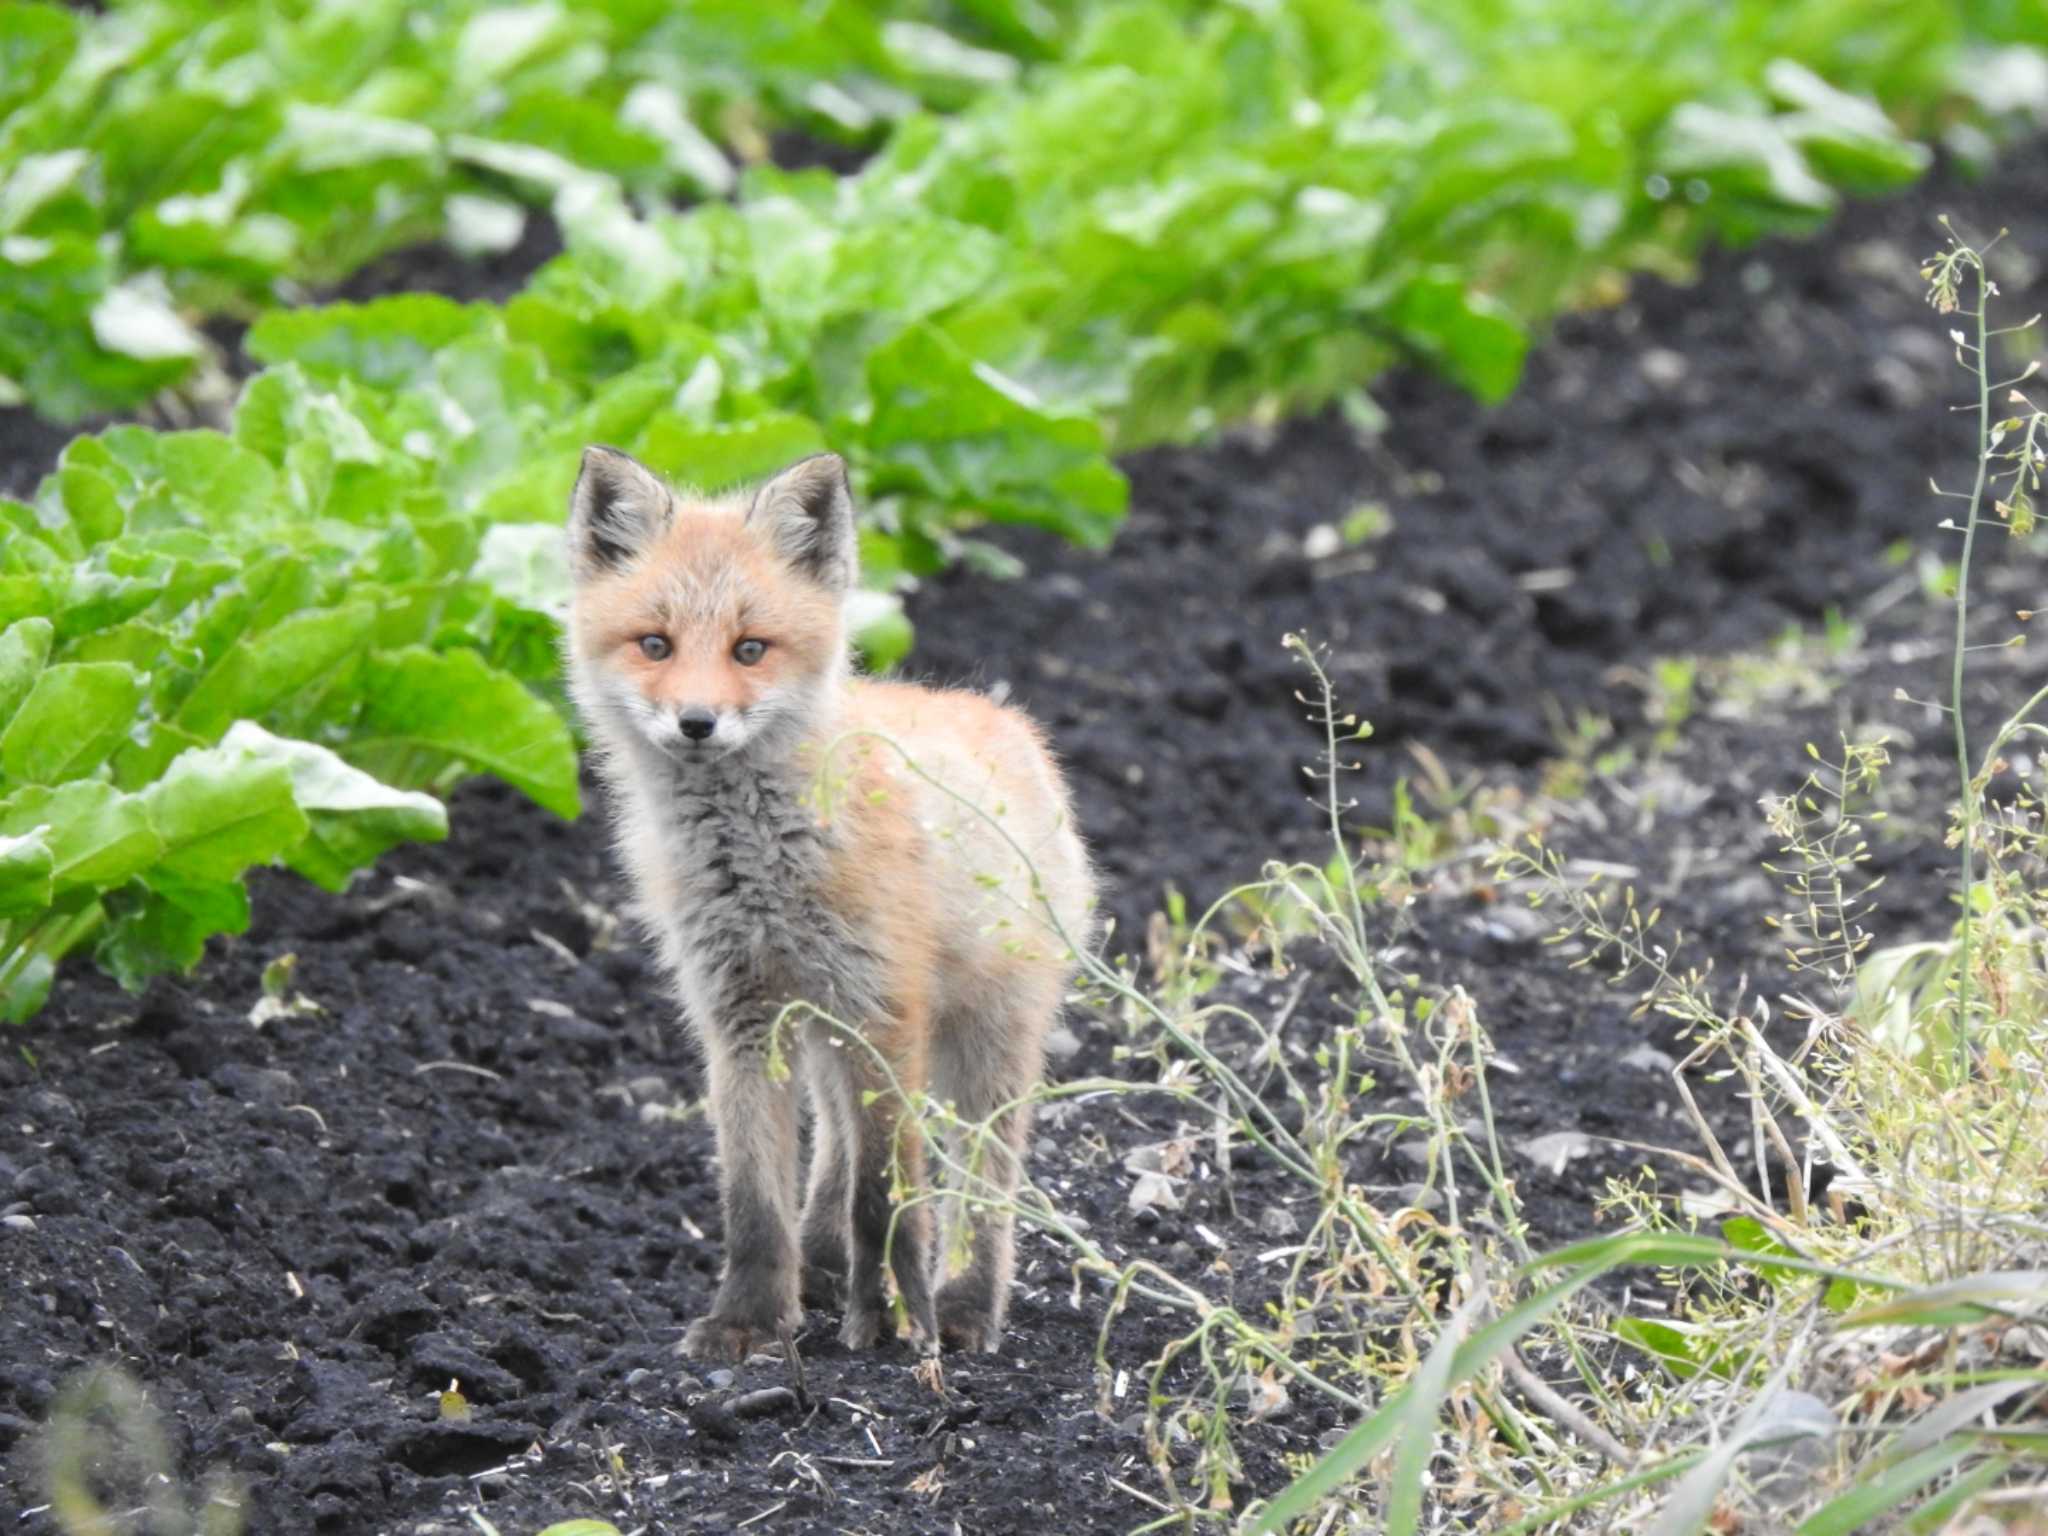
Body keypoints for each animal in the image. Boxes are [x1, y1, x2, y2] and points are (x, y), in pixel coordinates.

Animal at [561, 448, 1097, 1368]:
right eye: (655, 644)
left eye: (749, 648)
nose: (696, 722)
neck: (759, 870)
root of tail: (1003, 718)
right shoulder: (740, 1016)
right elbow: (754, 1201)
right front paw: (751, 1319)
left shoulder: (883, 1007)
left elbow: (887, 1193)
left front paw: (895, 1321)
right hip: (820, 1031)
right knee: (834, 1158)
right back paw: (819, 1271)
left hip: (981, 1042)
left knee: (980, 1186)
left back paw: (963, 1306)